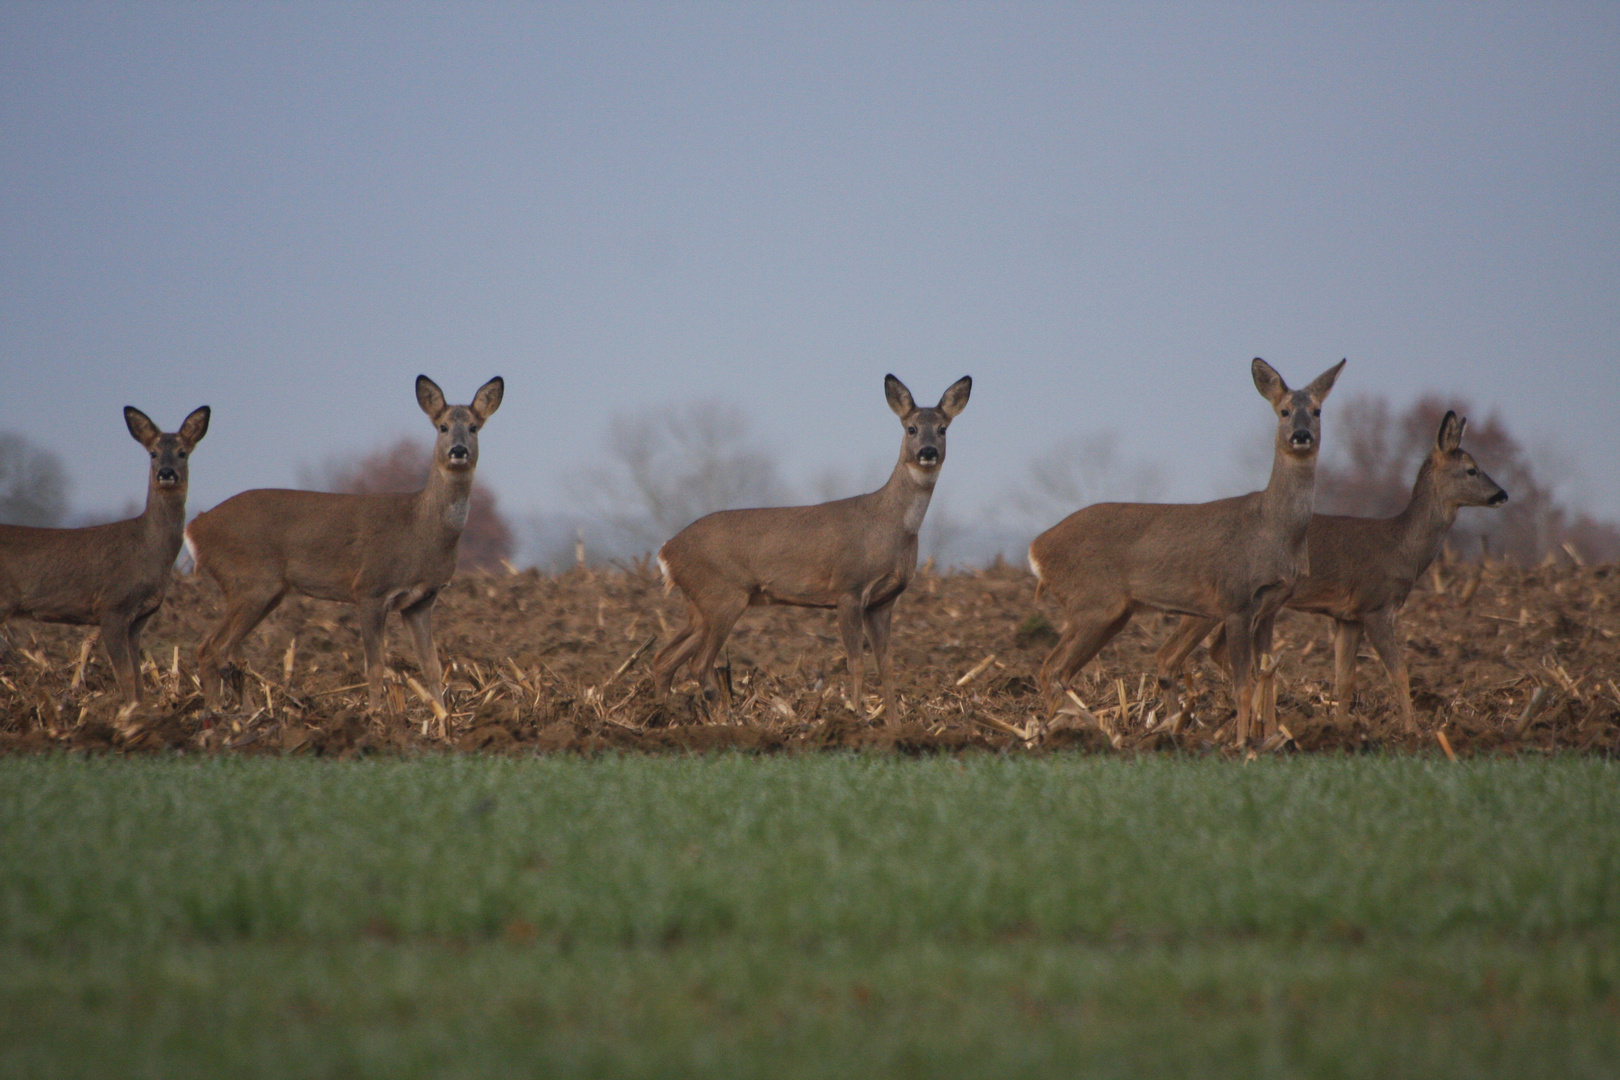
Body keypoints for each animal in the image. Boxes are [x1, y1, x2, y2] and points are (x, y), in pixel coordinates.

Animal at [0, 404, 212, 702]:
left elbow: (138, 678)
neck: (149, 549)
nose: (166, 472)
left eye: (183, 452)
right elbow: (125, 677)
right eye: (153, 452)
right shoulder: (112, 606)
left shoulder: (139, 618)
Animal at [186, 375, 498, 712]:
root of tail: (195, 527)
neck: (421, 528)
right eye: (442, 426)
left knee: (225, 651)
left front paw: (442, 715)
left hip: (266, 591)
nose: (458, 450)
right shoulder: (371, 589)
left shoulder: (420, 601)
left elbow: (432, 665)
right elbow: (375, 665)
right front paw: (376, 714)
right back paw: (217, 714)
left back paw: (242, 712)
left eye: (473, 427)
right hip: (249, 581)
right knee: (210, 648)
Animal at [651, 375, 965, 731]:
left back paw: (661, 716)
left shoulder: (883, 601)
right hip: (722, 595)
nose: (928, 452)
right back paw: (724, 717)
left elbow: (886, 664)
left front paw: (895, 728)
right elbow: (856, 662)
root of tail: (667, 550)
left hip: (698, 604)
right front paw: (856, 715)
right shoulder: (849, 588)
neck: (891, 524)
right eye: (911, 428)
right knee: (698, 662)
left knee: (664, 659)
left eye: (942, 428)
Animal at [1030, 359, 1347, 748]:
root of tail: (1036, 549)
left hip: (1112, 613)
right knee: (1051, 669)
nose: (1301, 435)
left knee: (1062, 671)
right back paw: (1089, 733)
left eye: (1317, 411)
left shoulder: (1271, 606)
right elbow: (1243, 683)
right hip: (1092, 603)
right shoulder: (1235, 599)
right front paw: (1241, 744)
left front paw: (1273, 738)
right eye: (1284, 411)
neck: (1273, 529)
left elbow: (1266, 675)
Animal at [1153, 409, 1503, 731]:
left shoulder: (1348, 617)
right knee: (1171, 655)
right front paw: (1412, 731)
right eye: (1472, 470)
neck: (1403, 546)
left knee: (1211, 652)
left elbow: (1345, 678)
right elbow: (1400, 673)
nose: (1502, 494)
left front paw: (1341, 730)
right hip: (1214, 598)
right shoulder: (1376, 605)